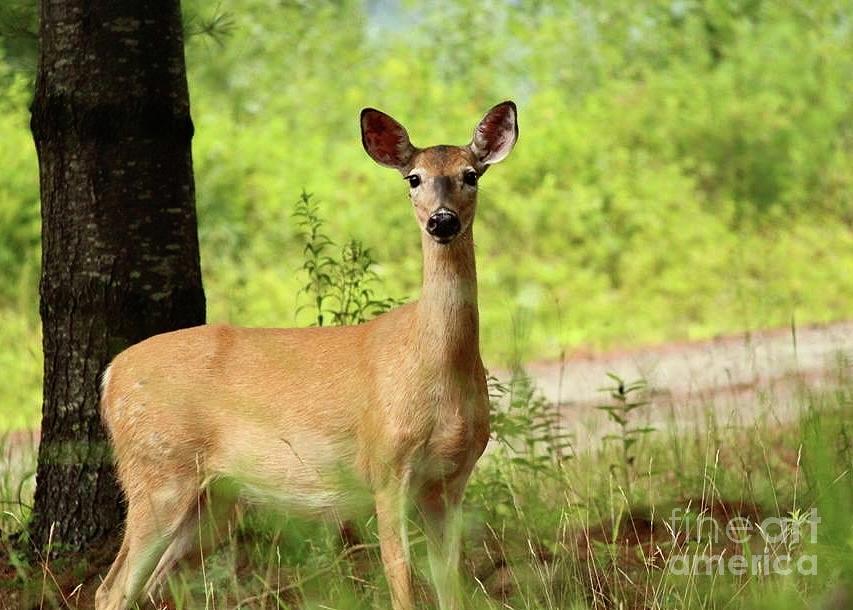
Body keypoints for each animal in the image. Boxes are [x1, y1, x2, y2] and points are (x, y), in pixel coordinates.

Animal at [95, 101, 520, 608]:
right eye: (413, 178)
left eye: (470, 175)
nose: (442, 221)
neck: (434, 365)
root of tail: (110, 375)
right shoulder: (386, 468)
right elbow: (401, 580)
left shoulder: (451, 481)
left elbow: (450, 583)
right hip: (158, 470)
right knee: (111, 589)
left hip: (211, 501)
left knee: (148, 584)